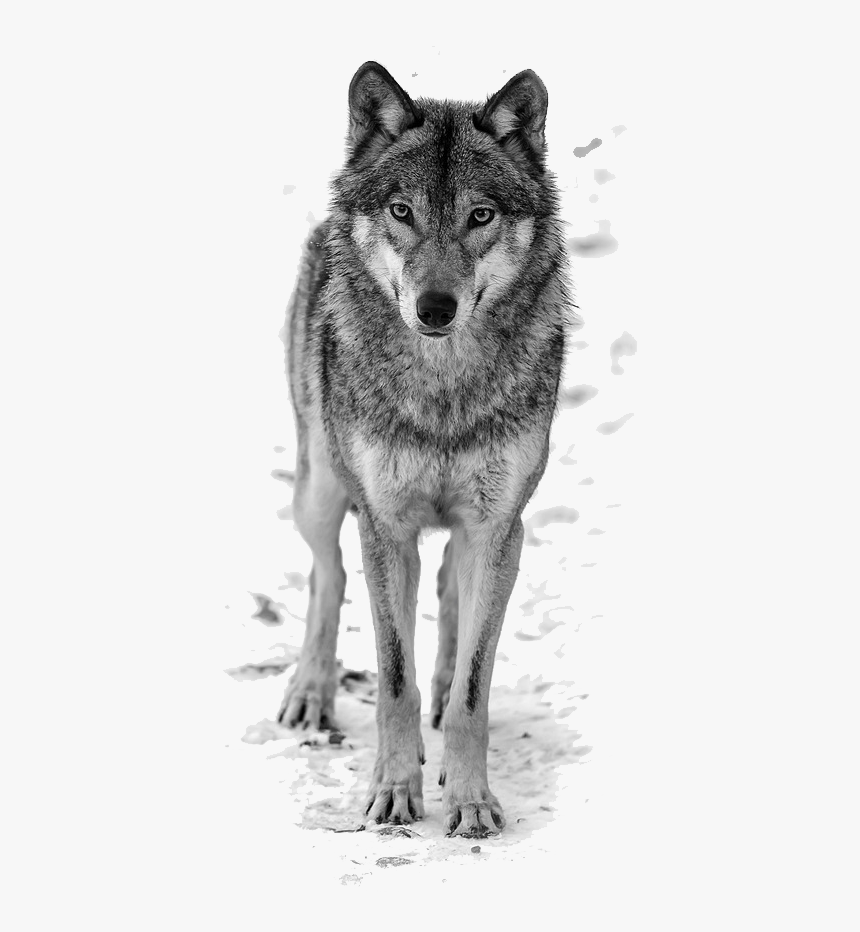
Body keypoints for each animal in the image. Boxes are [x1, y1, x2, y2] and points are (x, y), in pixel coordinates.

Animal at [278, 61, 574, 838]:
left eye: (480, 216)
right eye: (402, 211)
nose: (434, 308)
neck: (443, 393)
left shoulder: (498, 527)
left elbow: (474, 686)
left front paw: (469, 800)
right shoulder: (386, 527)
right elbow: (393, 677)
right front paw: (393, 792)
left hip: (479, 534)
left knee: (448, 595)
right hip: (320, 491)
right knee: (328, 577)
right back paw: (311, 693)